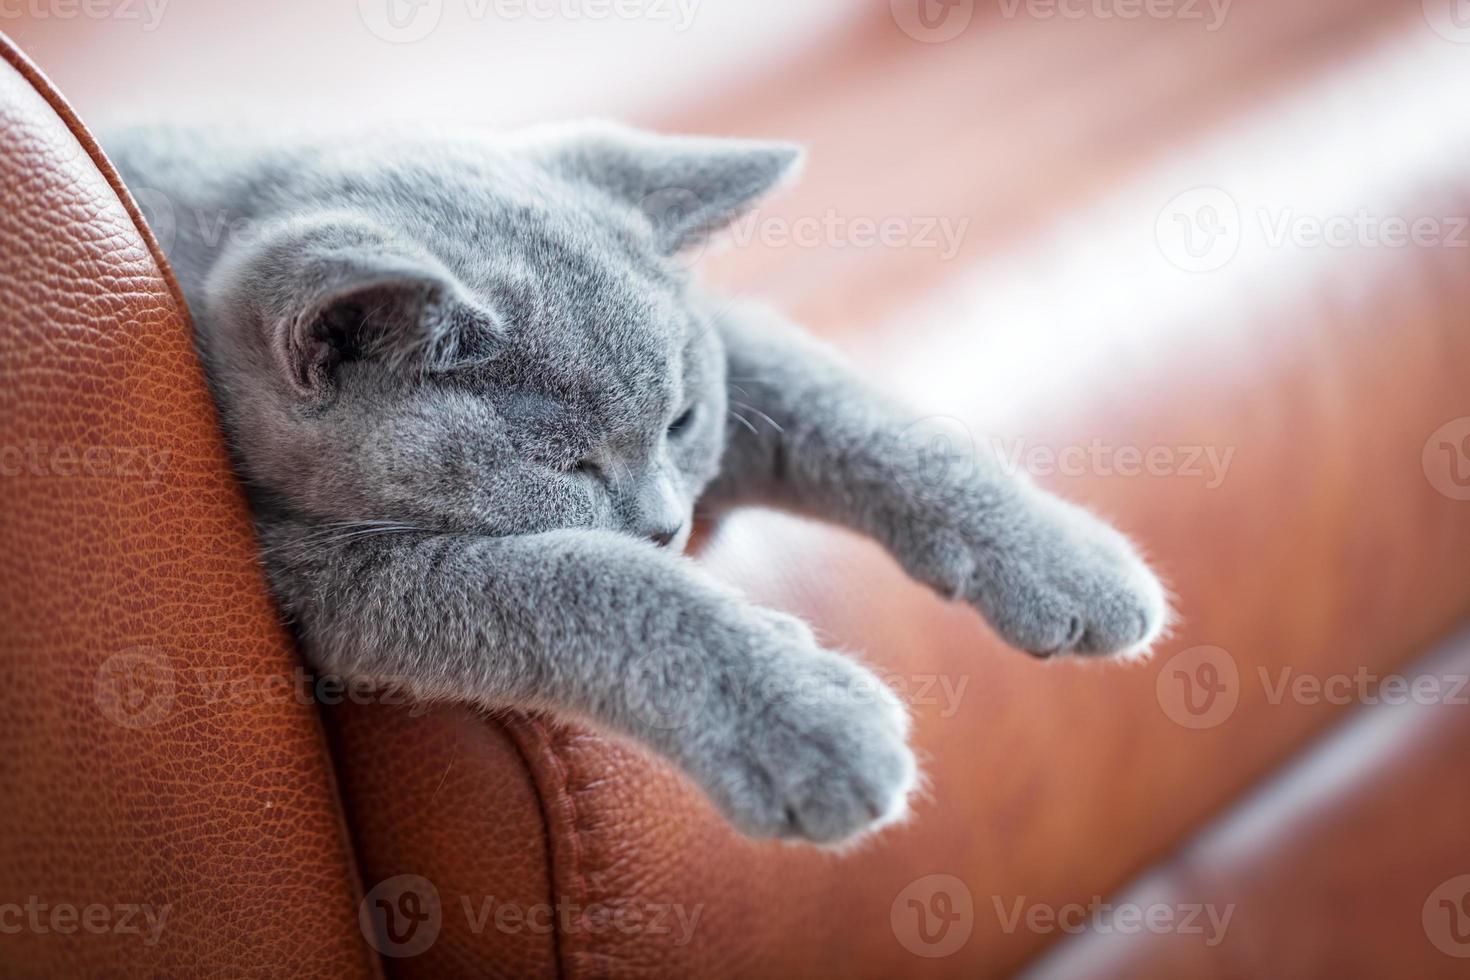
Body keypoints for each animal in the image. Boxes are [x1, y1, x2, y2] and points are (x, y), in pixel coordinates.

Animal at [106, 120, 1170, 846]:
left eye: (681, 421)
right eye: (564, 466)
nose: (668, 525)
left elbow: (842, 406)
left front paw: (1064, 560)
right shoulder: (325, 573)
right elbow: (584, 581)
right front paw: (805, 721)